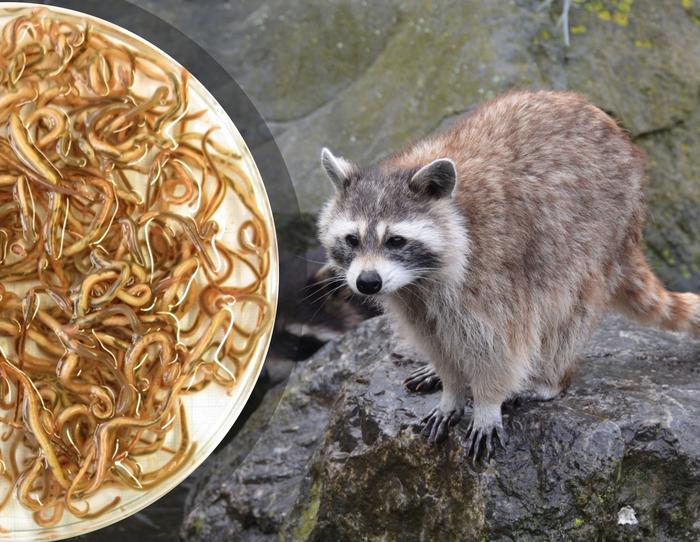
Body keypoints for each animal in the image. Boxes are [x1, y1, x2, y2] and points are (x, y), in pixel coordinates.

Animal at [317, 90, 700, 460]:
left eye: (396, 240)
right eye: (352, 240)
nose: (367, 283)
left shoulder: (490, 271)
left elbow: (500, 345)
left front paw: (487, 402)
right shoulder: (411, 298)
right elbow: (435, 340)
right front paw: (451, 386)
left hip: (599, 235)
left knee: (568, 314)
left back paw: (548, 380)